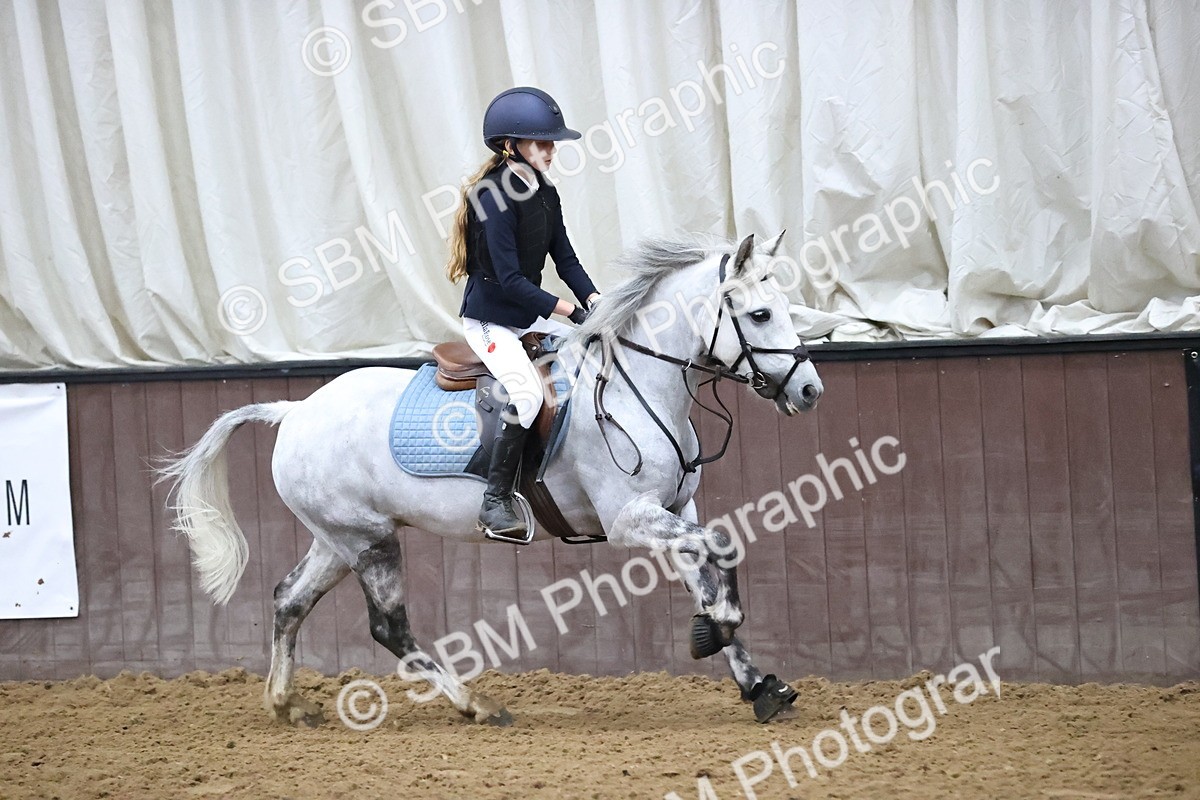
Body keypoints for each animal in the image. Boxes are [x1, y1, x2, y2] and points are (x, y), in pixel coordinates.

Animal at [159, 231, 823, 728]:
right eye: (760, 313)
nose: (810, 391)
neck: (633, 385)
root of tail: (295, 411)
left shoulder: (674, 511)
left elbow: (706, 562)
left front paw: (754, 679)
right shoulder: (629, 519)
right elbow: (721, 548)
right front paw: (721, 623)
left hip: (338, 538)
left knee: (289, 600)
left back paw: (286, 704)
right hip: (369, 540)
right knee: (388, 626)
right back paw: (474, 704)